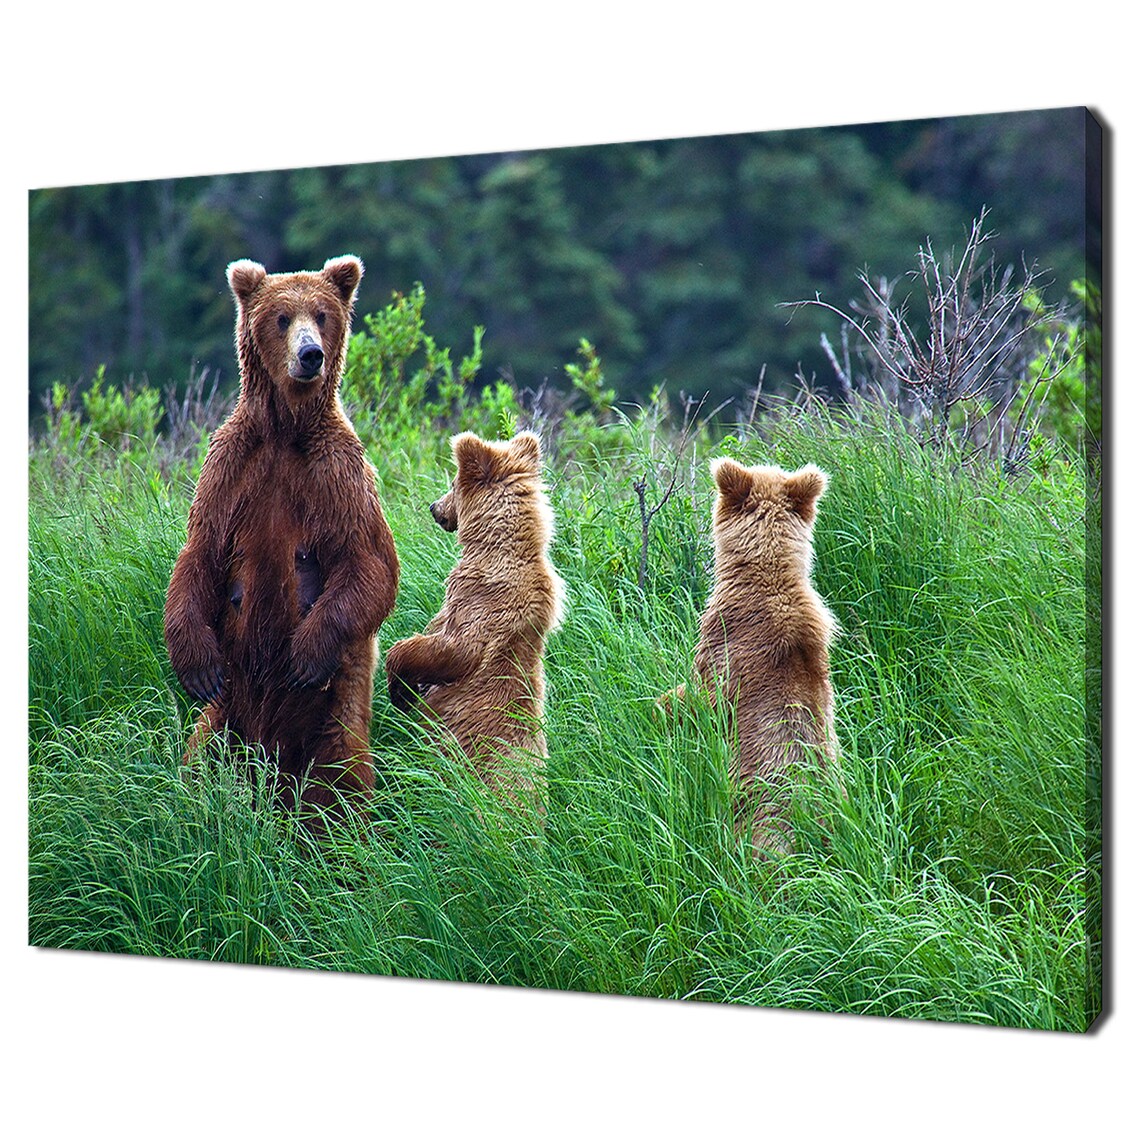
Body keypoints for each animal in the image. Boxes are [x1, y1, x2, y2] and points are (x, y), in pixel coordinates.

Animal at [164, 254, 399, 818]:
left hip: (331, 723)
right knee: (199, 758)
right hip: (227, 715)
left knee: (339, 782)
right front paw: (196, 666)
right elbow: (199, 554)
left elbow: (369, 563)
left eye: (322, 314)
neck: (286, 429)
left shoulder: (336, 474)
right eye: (282, 318)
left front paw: (305, 655)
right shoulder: (231, 468)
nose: (311, 355)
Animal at [385, 430, 565, 806]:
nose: (434, 507)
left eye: (452, 482)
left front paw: (402, 689)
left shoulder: (482, 601)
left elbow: (452, 649)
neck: (496, 548)